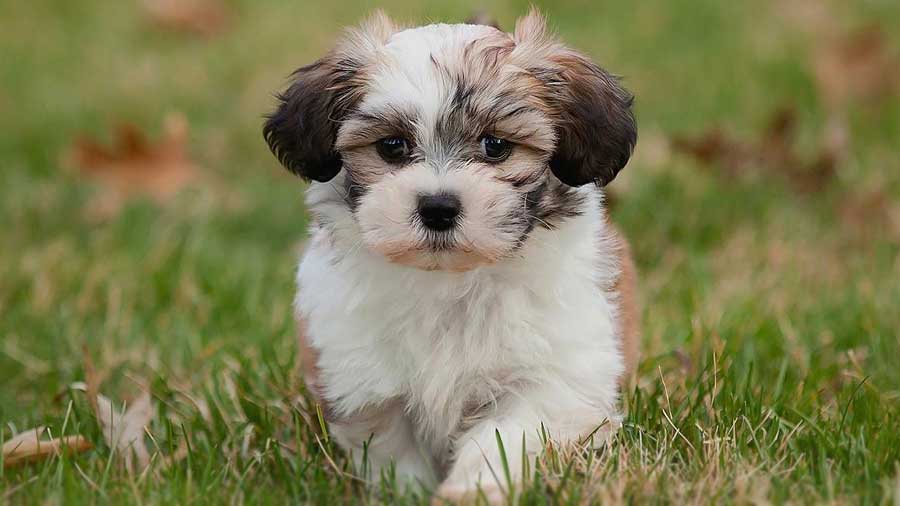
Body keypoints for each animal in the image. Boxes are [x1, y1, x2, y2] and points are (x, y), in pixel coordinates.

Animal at [262, 9, 640, 500]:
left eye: (495, 146)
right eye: (392, 146)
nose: (438, 207)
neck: (449, 279)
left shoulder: (553, 376)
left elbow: (507, 433)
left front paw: (474, 489)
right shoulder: (364, 377)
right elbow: (391, 447)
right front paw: (407, 493)